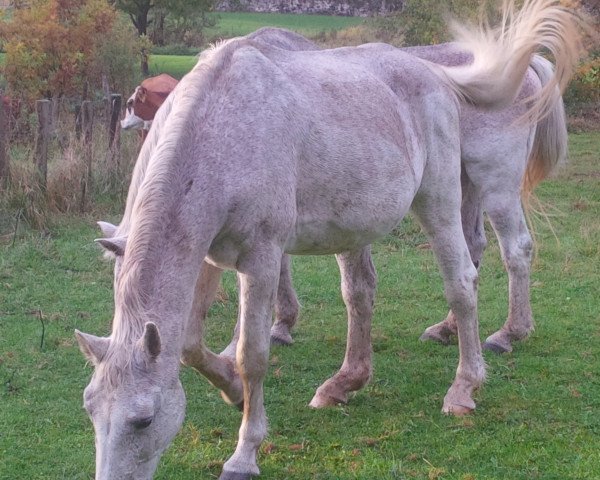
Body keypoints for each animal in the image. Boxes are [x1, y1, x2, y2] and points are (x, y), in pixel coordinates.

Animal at [77, 1, 580, 478]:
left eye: (143, 419)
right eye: (91, 410)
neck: (222, 130)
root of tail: (435, 74)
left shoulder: (261, 257)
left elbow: (252, 352)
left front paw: (244, 451)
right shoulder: (204, 255)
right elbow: (189, 344)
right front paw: (233, 388)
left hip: (457, 193)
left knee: (470, 276)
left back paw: (471, 378)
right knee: (367, 292)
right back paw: (347, 382)